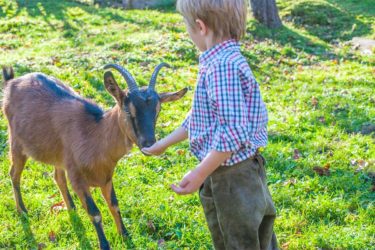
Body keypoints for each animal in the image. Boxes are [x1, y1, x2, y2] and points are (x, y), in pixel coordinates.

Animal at [0, 63, 188, 249]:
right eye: (128, 111)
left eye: (157, 110)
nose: (149, 143)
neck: (95, 136)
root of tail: (12, 82)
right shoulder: (77, 178)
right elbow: (95, 213)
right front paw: (105, 245)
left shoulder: (106, 177)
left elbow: (114, 205)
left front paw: (125, 236)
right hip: (17, 142)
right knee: (14, 174)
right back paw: (23, 211)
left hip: (58, 155)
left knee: (58, 176)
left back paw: (72, 209)